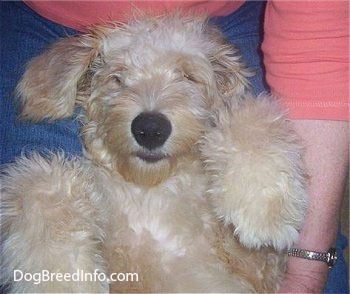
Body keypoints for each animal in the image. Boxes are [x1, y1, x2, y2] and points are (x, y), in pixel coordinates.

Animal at [0, 13, 306, 292]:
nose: (150, 129)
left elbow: (247, 114)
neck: (151, 192)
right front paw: (63, 280)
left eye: (187, 76)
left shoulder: (259, 264)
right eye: (117, 78)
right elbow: (39, 184)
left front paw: (262, 208)